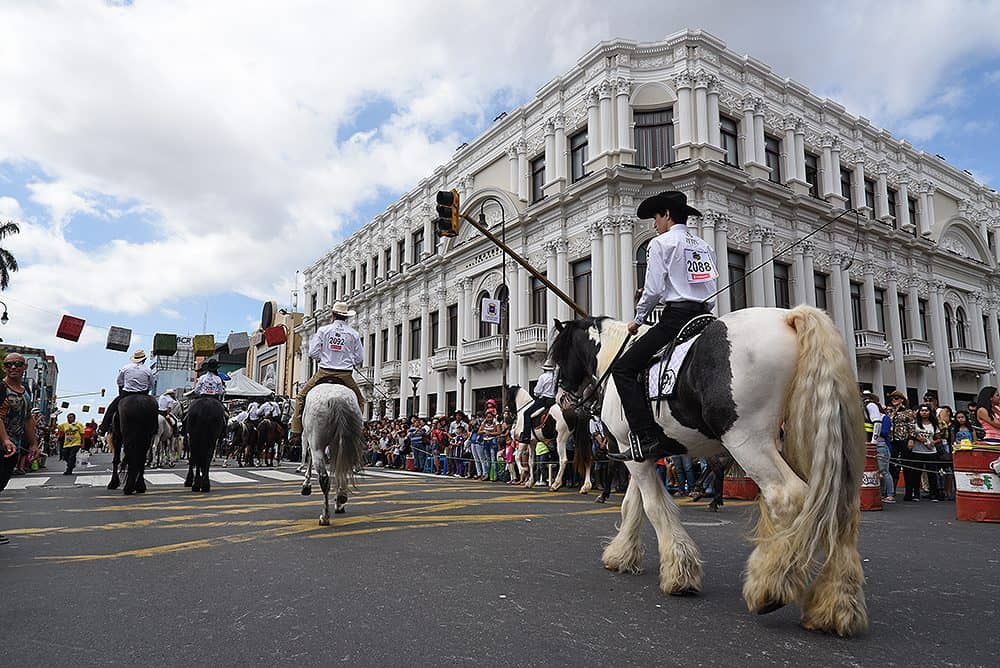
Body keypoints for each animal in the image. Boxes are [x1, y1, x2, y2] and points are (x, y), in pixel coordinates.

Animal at [300, 384, 372, 524]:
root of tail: (337, 399)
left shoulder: (308, 437)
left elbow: (307, 455)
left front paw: (306, 485)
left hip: (317, 445)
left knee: (324, 478)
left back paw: (325, 517)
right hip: (348, 442)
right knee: (344, 468)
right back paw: (341, 499)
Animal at [548, 306, 868, 640]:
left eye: (558, 355)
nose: (561, 401)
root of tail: (788, 317)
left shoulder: (629, 450)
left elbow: (653, 506)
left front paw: (680, 573)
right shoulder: (638, 452)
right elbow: (633, 505)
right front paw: (622, 555)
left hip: (748, 441)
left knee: (787, 497)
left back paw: (769, 588)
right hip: (815, 441)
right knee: (837, 507)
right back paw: (834, 606)